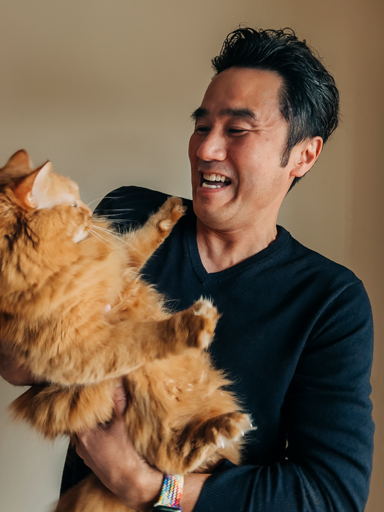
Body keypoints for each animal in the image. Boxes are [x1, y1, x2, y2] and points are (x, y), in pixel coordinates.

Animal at [0, 150, 252, 510]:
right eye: (73, 205)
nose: (89, 211)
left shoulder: (118, 264)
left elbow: (139, 242)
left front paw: (172, 210)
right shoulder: (77, 349)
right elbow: (141, 336)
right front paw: (189, 327)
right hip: (142, 391)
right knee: (170, 458)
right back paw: (223, 425)